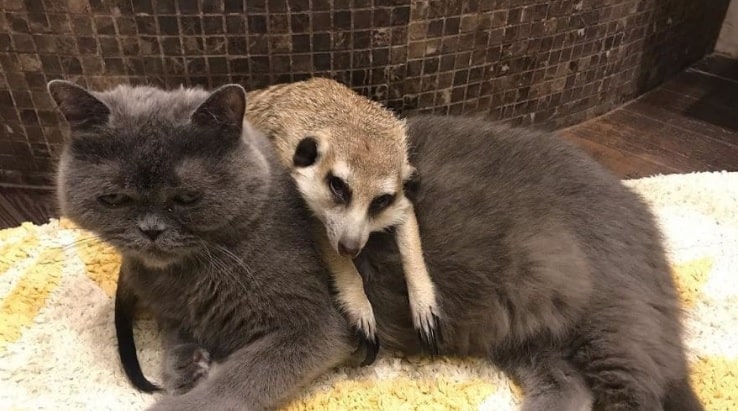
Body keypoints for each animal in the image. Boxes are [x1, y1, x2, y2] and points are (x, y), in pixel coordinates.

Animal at [46, 81, 356, 411]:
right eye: (114, 198)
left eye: (187, 197)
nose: (151, 229)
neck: (189, 276)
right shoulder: (170, 311)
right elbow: (175, 332)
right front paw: (186, 366)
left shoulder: (313, 324)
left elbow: (241, 377)